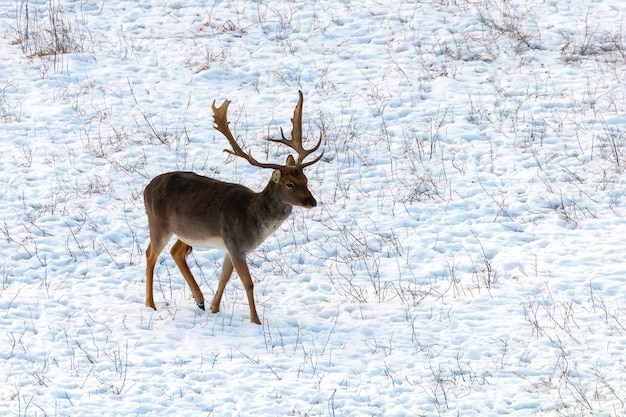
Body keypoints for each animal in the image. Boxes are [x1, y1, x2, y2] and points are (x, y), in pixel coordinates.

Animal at [142, 91, 322, 324]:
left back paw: (199, 300)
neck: (253, 221)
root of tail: (146, 188)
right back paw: (150, 304)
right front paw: (256, 321)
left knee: (176, 252)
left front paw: (214, 308)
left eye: (306, 180)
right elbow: (248, 283)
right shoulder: (235, 243)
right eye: (289, 184)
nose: (312, 201)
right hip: (158, 223)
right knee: (150, 254)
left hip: (185, 230)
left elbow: (224, 278)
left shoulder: (230, 247)